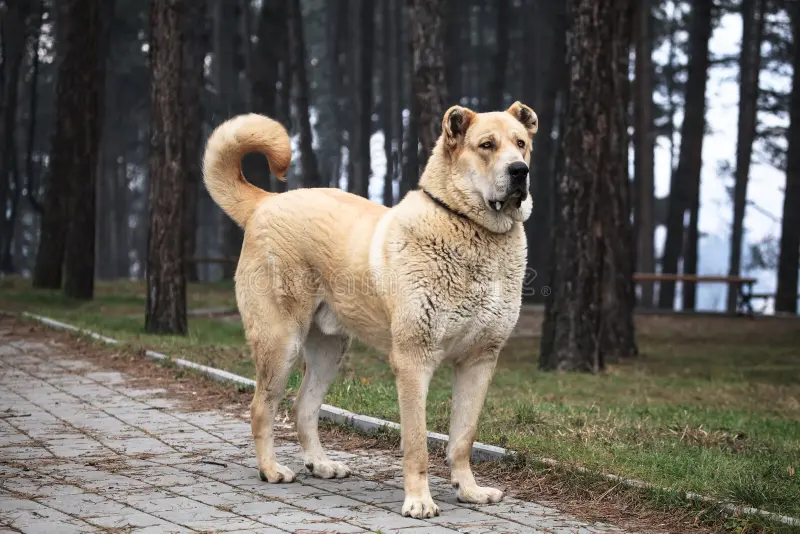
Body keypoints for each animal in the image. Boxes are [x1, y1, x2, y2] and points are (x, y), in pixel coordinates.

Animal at [202, 101, 536, 520]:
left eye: (521, 144)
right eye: (487, 145)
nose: (519, 171)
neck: (473, 229)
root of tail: (266, 201)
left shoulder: (479, 360)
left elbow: (463, 437)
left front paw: (470, 490)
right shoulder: (413, 360)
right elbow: (417, 442)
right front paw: (419, 500)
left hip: (329, 350)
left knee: (303, 407)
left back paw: (321, 464)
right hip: (281, 344)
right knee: (262, 408)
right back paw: (271, 470)